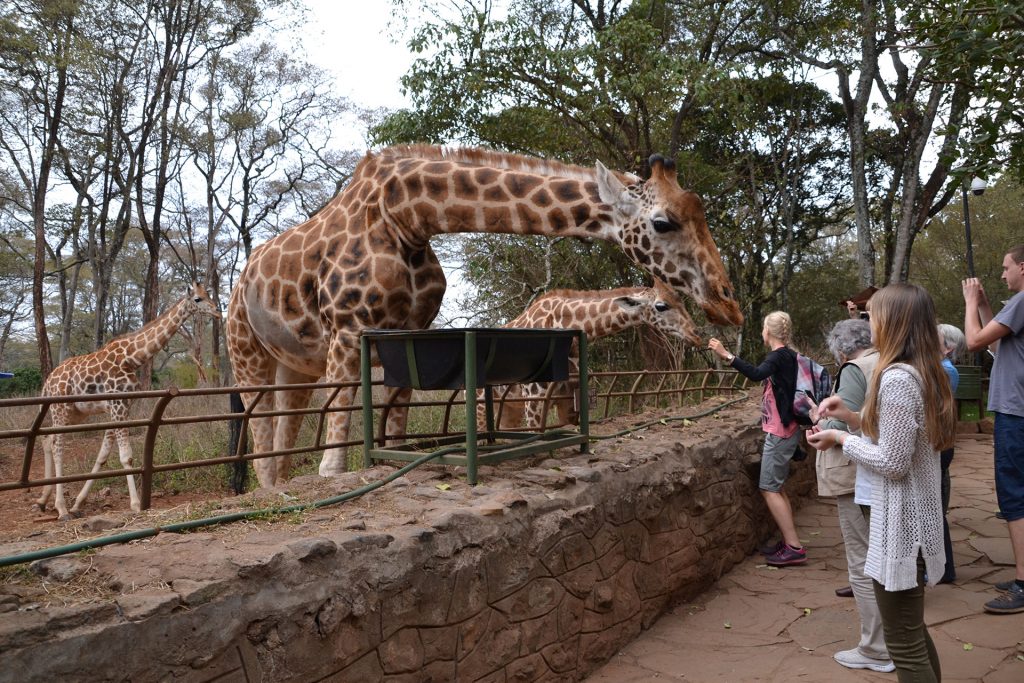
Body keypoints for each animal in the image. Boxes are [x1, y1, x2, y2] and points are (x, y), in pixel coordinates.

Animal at [37, 282, 219, 518]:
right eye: (198, 299)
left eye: (208, 294)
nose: (217, 310)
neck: (132, 357)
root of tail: (47, 384)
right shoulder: (118, 405)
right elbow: (126, 456)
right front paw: (135, 504)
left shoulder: (121, 407)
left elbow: (103, 456)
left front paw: (78, 503)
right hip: (60, 409)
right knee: (58, 447)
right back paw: (61, 508)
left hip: (74, 413)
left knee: (47, 440)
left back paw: (43, 500)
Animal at [493, 276, 704, 428]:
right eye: (661, 306)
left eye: (681, 300)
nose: (696, 334)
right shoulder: (534, 400)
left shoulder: (569, 399)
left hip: (510, 406)